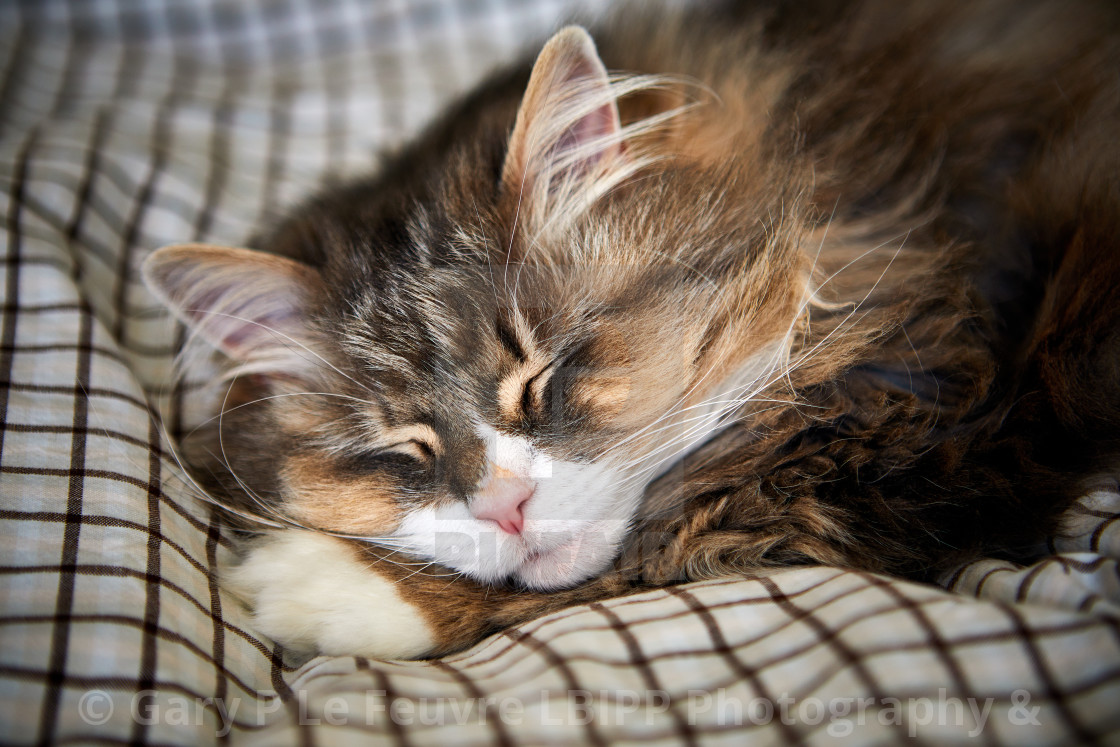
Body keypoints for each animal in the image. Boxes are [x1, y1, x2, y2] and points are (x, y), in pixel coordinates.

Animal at [140, 0, 1120, 658]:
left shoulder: (940, 432)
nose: (504, 507)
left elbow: (671, 527)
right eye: (404, 451)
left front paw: (318, 585)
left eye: (543, 378)